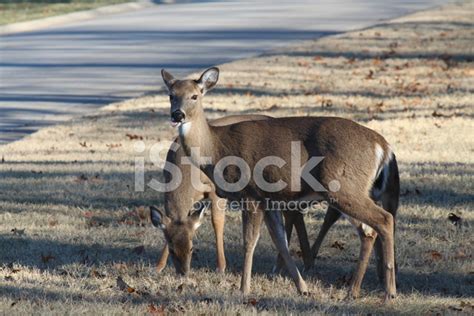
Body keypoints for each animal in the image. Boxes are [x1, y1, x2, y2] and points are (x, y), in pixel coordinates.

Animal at [150, 115, 314, 276]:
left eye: (191, 248)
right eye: (172, 249)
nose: (183, 272)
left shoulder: (215, 190)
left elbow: (217, 222)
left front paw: (221, 267)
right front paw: (158, 266)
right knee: (295, 214)